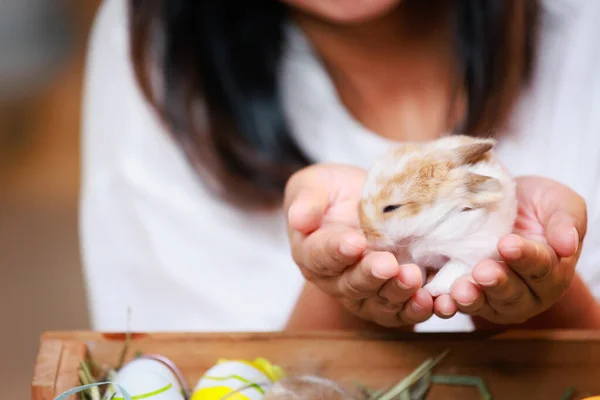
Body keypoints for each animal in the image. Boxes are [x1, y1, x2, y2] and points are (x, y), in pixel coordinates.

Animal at [358, 136, 516, 296]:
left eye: (391, 208)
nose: (366, 233)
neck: (429, 228)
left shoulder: (469, 254)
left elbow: (448, 272)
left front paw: (432, 289)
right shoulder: (407, 255)